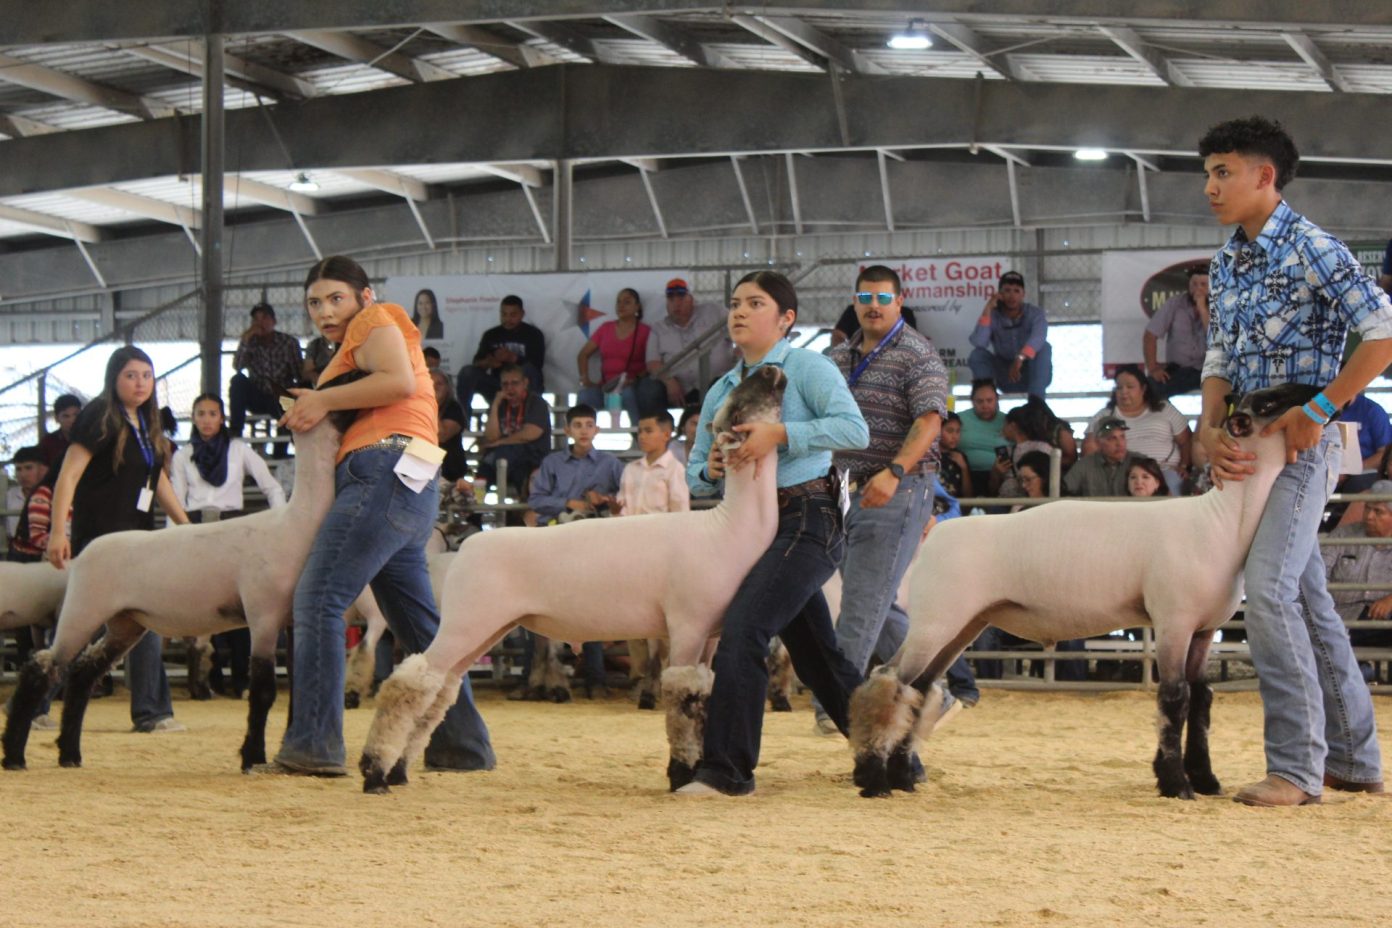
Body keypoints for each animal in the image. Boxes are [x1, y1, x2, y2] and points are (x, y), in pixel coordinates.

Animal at [0, 414, 348, 779]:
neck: (295, 523)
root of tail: (81, 555)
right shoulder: (263, 615)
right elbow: (263, 691)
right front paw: (252, 758)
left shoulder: (293, 619)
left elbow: (299, 688)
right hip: (82, 609)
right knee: (41, 669)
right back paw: (15, 757)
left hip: (126, 623)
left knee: (82, 675)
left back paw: (70, 754)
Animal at [359, 367, 790, 795]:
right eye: (738, 402)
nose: (772, 369)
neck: (726, 528)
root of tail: (467, 547)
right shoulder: (687, 625)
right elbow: (683, 703)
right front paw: (682, 773)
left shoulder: (711, 633)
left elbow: (702, 699)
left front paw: (694, 768)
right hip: (467, 621)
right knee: (408, 684)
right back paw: (374, 772)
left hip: (485, 628)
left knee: (439, 688)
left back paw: (398, 770)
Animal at [846, 384, 1314, 801]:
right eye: (1270, 401)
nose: (1315, 394)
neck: (1222, 520)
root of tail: (934, 536)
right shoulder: (1173, 621)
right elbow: (1174, 700)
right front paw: (1176, 783)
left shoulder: (1204, 630)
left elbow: (1201, 701)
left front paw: (1206, 780)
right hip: (936, 619)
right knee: (890, 681)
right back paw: (874, 780)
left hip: (963, 625)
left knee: (919, 690)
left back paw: (900, 777)